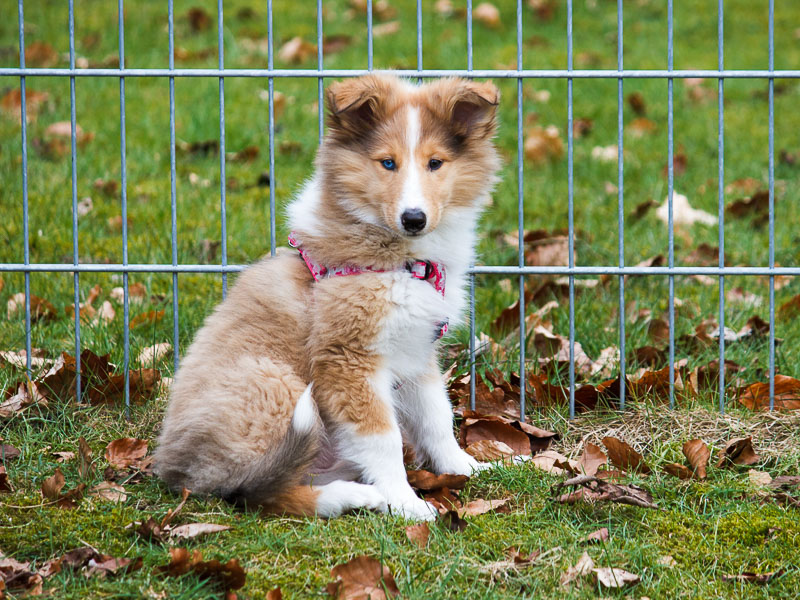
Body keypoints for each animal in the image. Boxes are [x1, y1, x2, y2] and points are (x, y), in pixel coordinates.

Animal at [155, 74, 500, 520]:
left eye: (435, 163)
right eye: (387, 163)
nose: (414, 219)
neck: (396, 257)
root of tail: (177, 472)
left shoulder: (416, 351)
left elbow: (437, 419)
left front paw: (470, 467)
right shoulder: (349, 359)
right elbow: (384, 438)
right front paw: (406, 502)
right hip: (274, 383)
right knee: (261, 493)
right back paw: (357, 497)